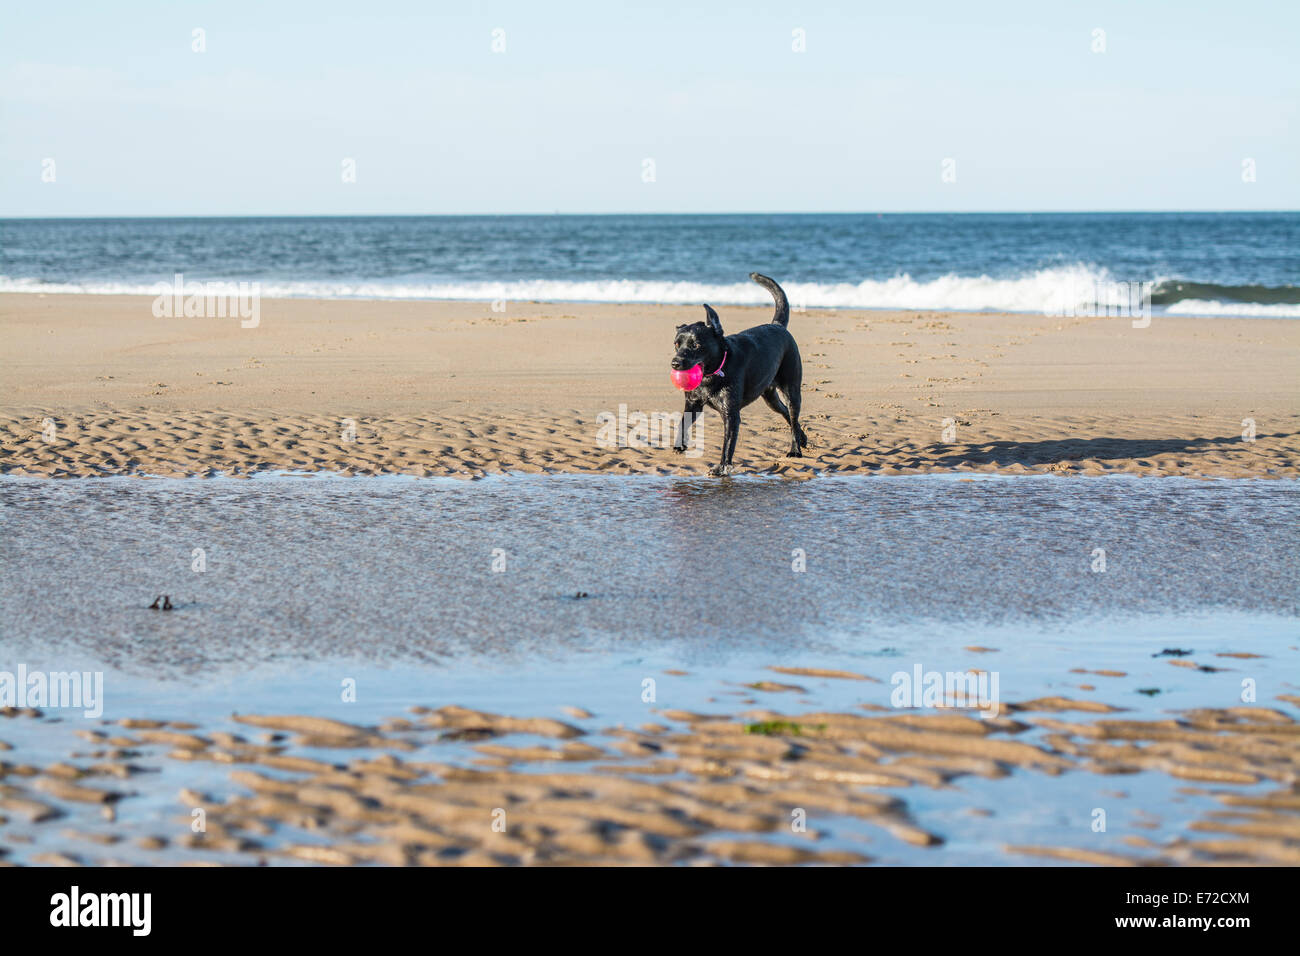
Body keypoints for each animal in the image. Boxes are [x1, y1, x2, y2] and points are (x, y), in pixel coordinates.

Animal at [670, 273, 800, 476]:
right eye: (677, 344)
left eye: (696, 345)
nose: (675, 363)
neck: (712, 374)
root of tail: (778, 326)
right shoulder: (692, 404)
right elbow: (683, 422)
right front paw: (679, 445)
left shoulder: (731, 415)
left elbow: (728, 445)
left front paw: (722, 467)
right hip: (770, 397)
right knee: (787, 414)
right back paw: (803, 438)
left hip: (791, 389)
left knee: (793, 416)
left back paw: (796, 450)